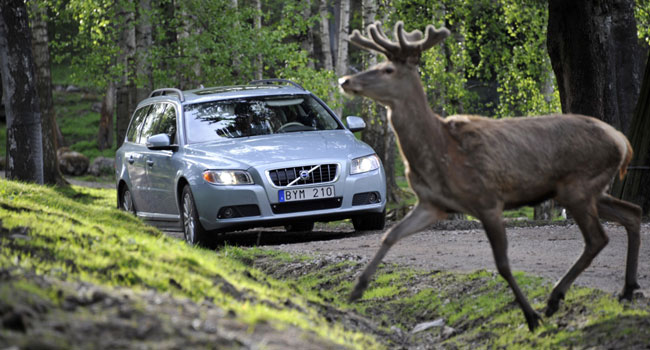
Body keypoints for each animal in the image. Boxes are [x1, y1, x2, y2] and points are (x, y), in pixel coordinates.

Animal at [336, 20, 640, 332]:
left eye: (388, 69)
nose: (345, 81)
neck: (440, 151)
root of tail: (622, 141)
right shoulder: (433, 203)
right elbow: (390, 236)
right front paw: (357, 289)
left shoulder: (487, 199)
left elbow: (503, 263)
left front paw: (530, 316)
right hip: (587, 189)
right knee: (633, 212)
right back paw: (625, 290)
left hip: (578, 186)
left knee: (598, 238)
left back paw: (556, 299)